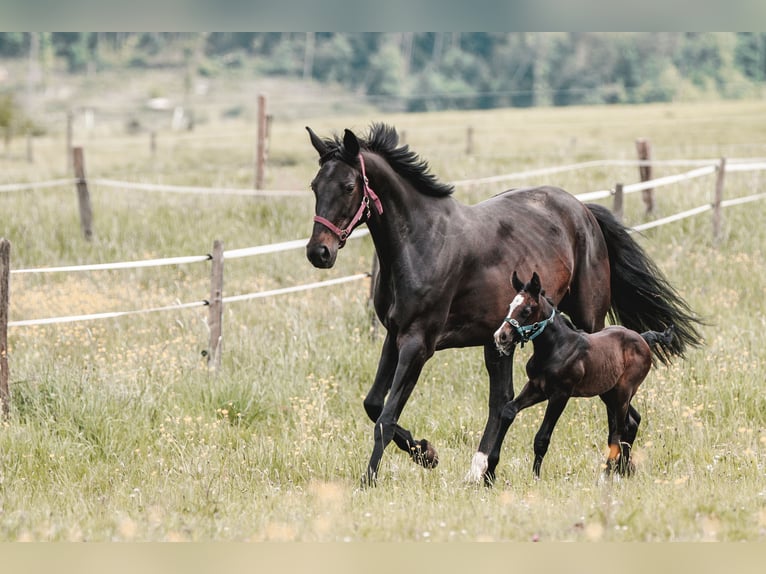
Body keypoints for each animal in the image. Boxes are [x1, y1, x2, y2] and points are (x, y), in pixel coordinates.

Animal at [490, 271, 675, 481]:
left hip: (623, 392)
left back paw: (608, 474)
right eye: (509, 306)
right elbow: (508, 411)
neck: (556, 347)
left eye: (527, 310)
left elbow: (542, 438)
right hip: (608, 392)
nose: (501, 336)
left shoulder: (560, 394)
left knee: (620, 430)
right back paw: (623, 470)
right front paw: (489, 471)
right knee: (632, 422)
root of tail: (643, 338)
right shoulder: (537, 387)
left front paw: (535, 477)